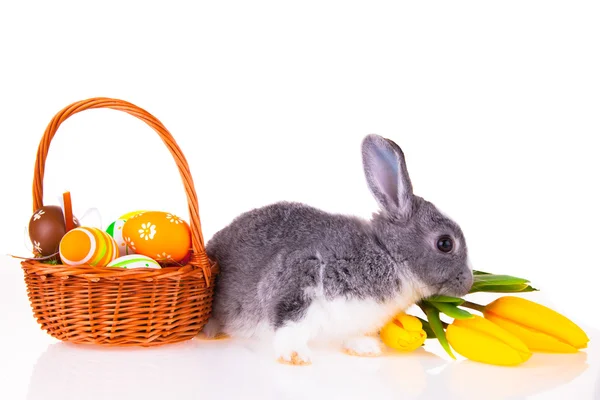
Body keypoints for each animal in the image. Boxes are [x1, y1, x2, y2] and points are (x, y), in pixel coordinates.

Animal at [203, 133, 474, 364]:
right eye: (445, 243)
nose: (468, 282)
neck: (388, 255)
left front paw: (366, 349)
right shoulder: (300, 278)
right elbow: (289, 326)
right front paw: (296, 356)